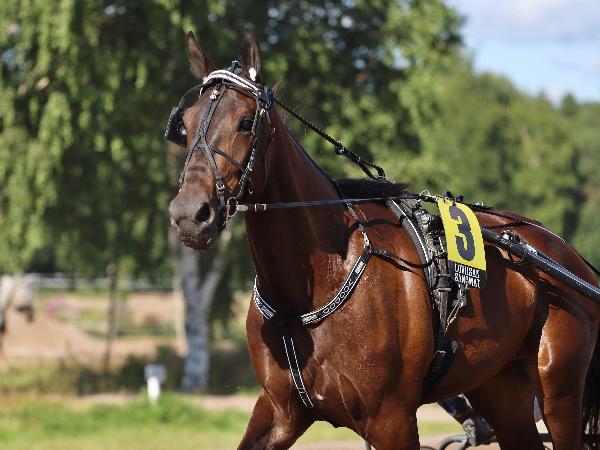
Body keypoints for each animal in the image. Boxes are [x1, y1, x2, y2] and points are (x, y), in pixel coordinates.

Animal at [168, 32, 600, 450]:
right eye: (185, 125)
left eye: (245, 122)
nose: (190, 214)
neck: (314, 288)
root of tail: (567, 254)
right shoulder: (280, 412)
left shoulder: (391, 419)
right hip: (498, 386)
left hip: (558, 387)